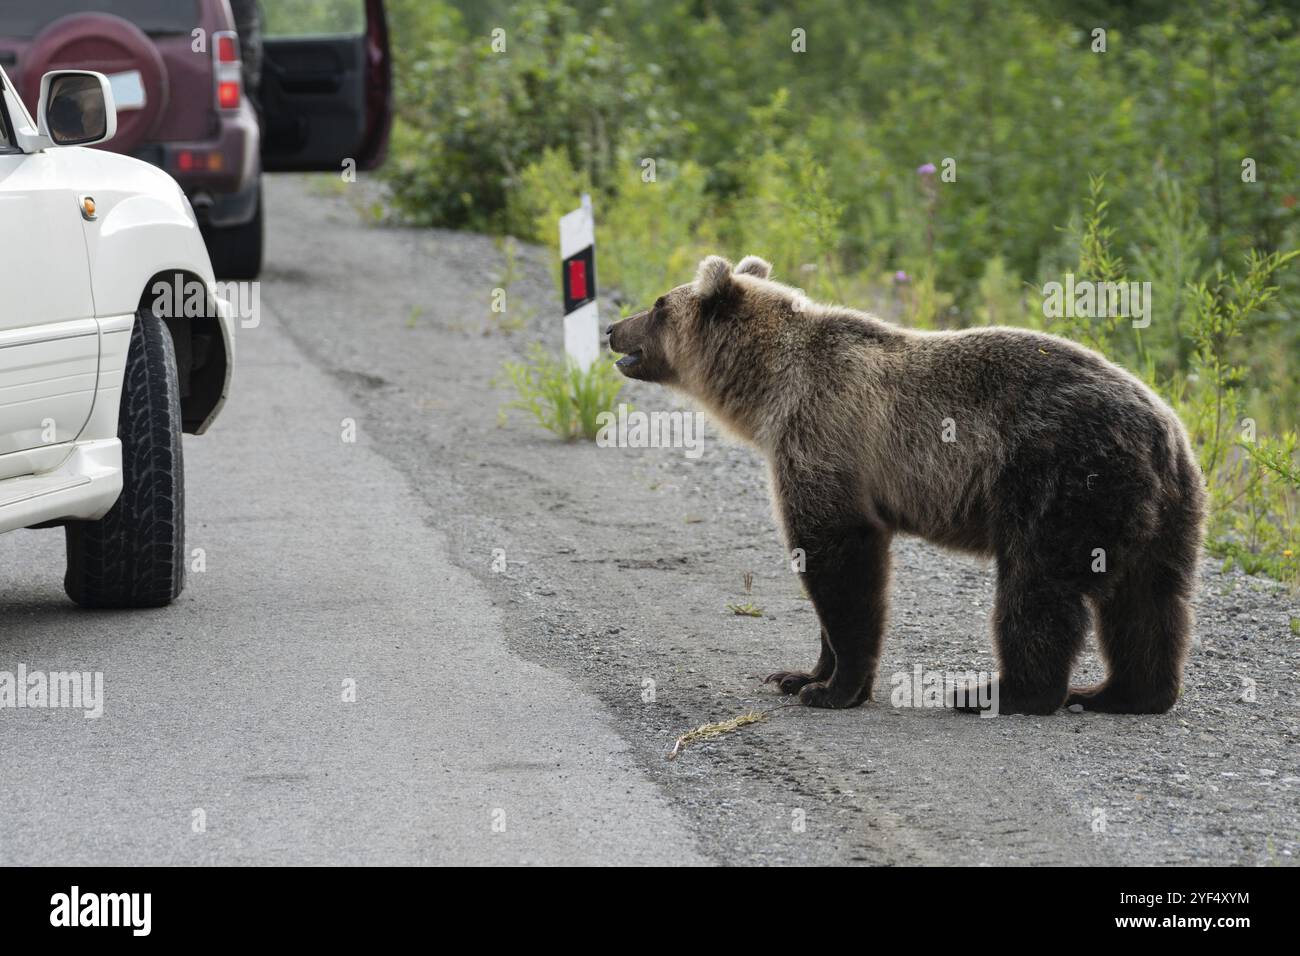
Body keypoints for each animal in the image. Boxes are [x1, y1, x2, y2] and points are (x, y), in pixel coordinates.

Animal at [608, 252, 1206, 712]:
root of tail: (1164, 430)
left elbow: (839, 561)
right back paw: (1121, 693)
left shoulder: (824, 438)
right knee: (1150, 600)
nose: (613, 328)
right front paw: (799, 674)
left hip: (1061, 479)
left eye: (659, 305)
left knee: (1038, 587)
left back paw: (1000, 692)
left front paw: (834, 689)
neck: (769, 390)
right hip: (1164, 509)